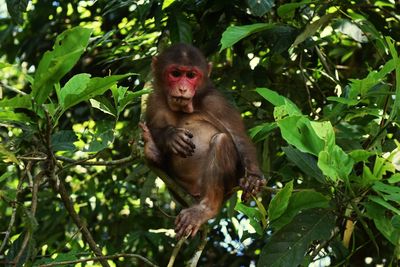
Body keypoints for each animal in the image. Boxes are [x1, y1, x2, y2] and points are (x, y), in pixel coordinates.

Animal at [140, 43, 266, 240]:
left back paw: (207, 208)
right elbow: (155, 126)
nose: (183, 89)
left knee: (222, 141)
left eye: (191, 75)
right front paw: (170, 136)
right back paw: (153, 152)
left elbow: (238, 136)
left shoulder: (216, 103)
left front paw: (253, 176)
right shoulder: (154, 100)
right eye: (175, 73)